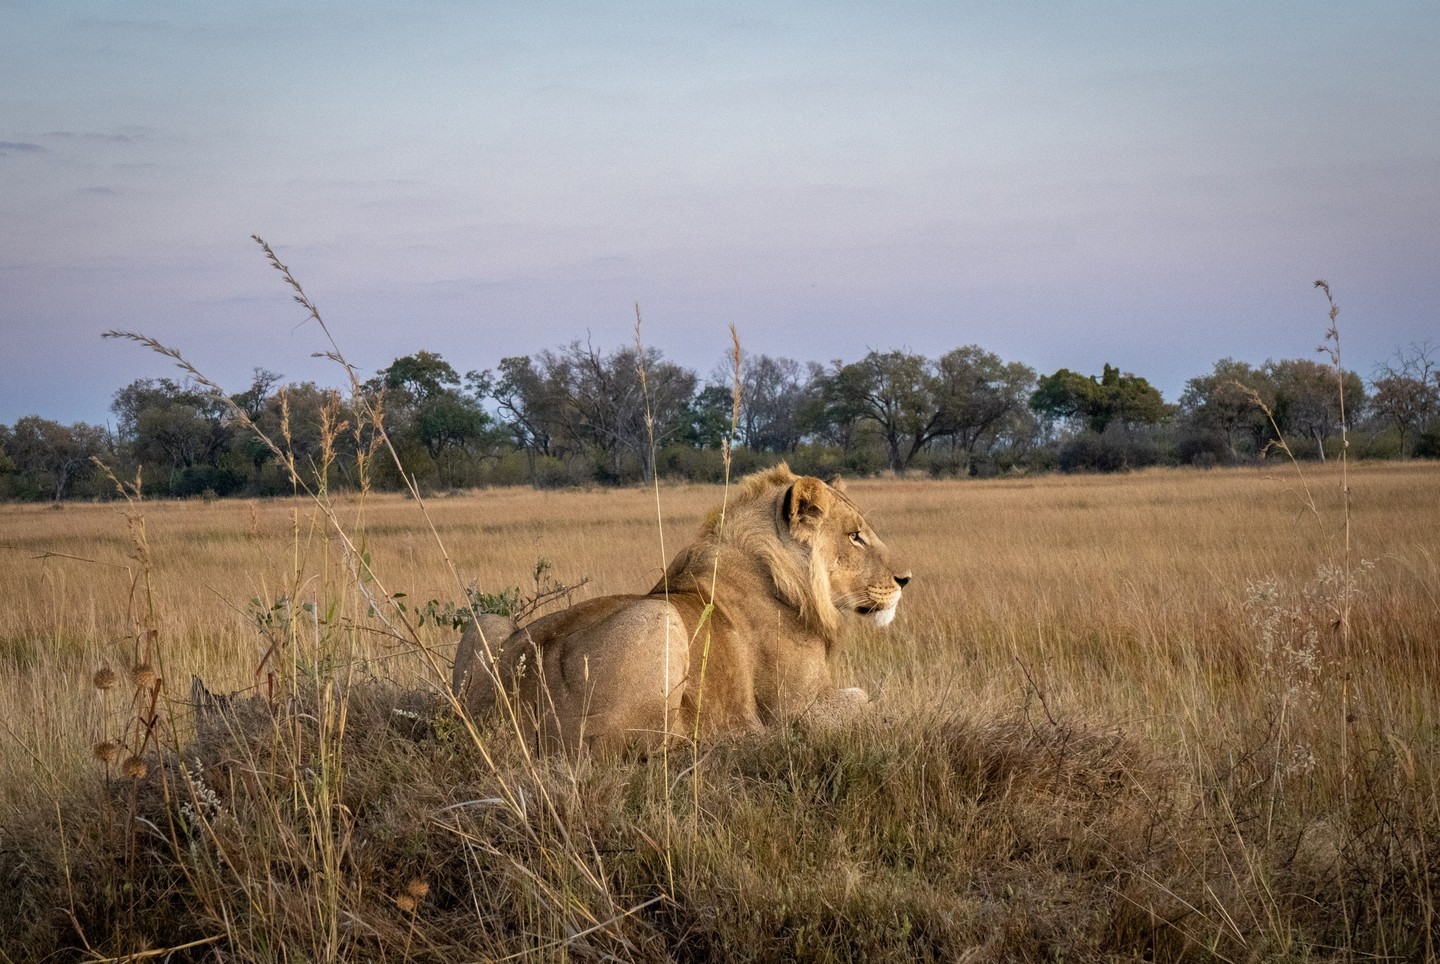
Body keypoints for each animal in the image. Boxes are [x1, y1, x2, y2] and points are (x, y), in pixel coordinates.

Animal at [449, 463, 910, 749]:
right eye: (855, 536)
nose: (906, 579)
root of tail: (500, 717)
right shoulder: (799, 709)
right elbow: (868, 701)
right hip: (660, 617)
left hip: (486, 622)